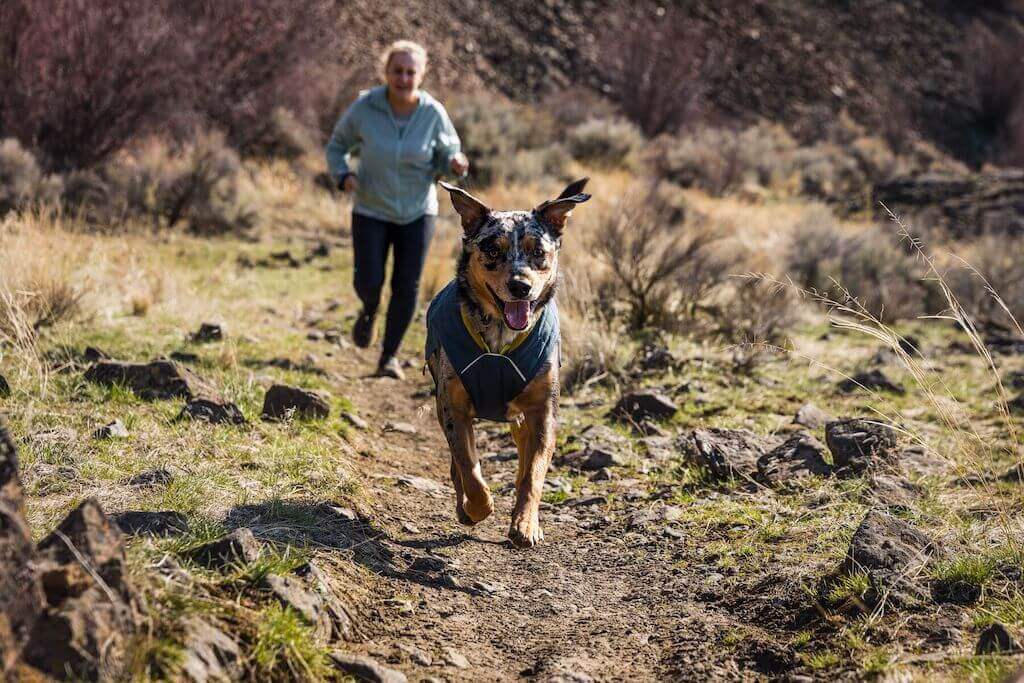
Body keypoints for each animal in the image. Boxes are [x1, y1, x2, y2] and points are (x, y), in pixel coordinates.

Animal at [423, 179, 593, 548]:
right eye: (492, 249)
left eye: (538, 252)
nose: (520, 286)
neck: (500, 341)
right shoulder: (453, 406)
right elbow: (469, 467)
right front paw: (478, 507)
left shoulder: (542, 412)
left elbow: (533, 474)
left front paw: (526, 524)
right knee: (458, 465)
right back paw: (465, 507)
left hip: (520, 420)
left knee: (524, 461)